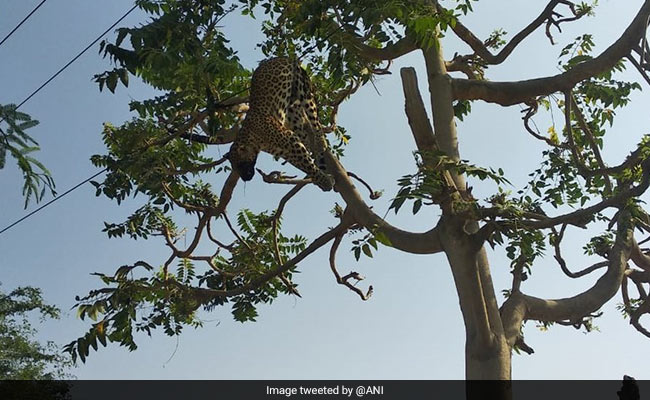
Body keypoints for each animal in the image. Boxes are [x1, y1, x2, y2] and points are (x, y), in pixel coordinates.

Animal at [225, 57, 334, 191]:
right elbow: (303, 164)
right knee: (304, 135)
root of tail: (284, 57)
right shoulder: (284, 150)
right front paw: (322, 179)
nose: (246, 179)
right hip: (293, 111)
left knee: (315, 121)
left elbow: (307, 165)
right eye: (235, 168)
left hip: (303, 89)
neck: (253, 141)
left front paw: (325, 181)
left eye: (241, 164)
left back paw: (321, 143)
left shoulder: (290, 140)